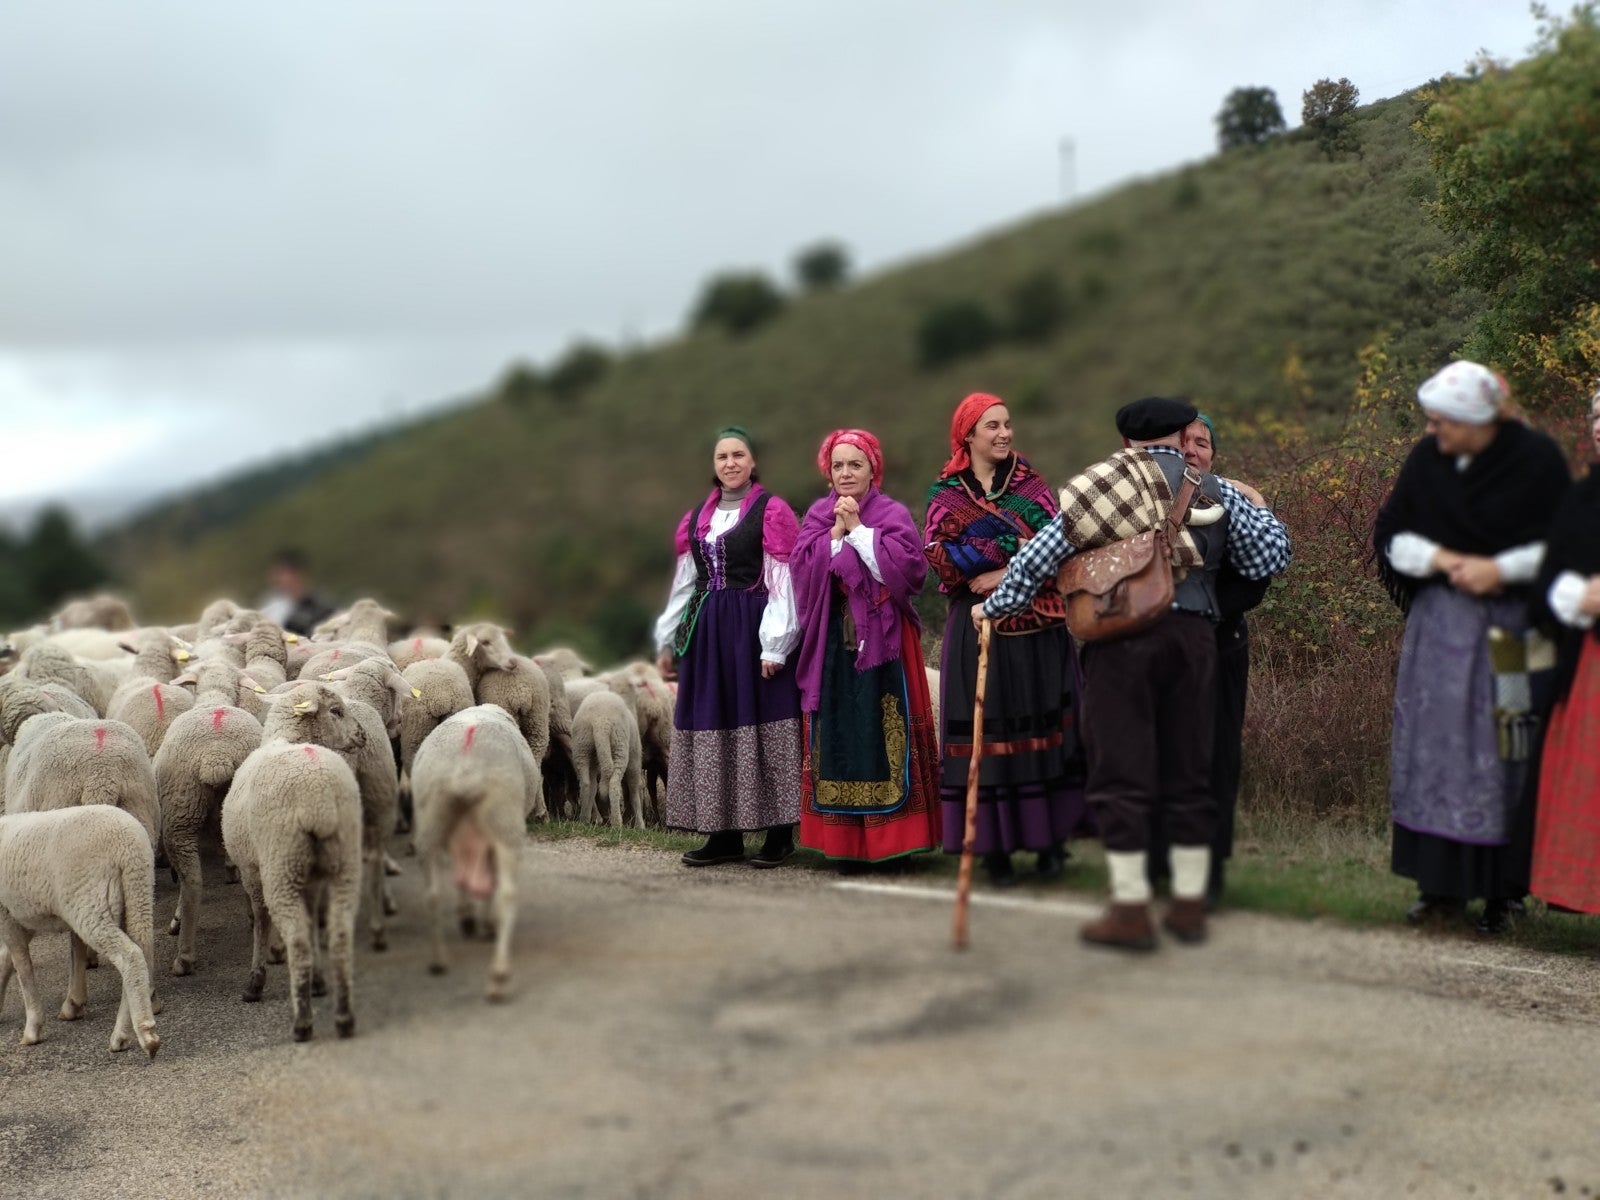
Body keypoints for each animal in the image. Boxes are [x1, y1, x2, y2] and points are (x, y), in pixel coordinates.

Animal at [0, 812, 160, 1056]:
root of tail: (130, 848)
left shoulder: (7, 914)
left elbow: (23, 968)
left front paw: (33, 1029)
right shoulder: (23, 918)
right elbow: (6, 960)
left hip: (91, 903)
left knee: (130, 956)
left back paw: (145, 1035)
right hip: (139, 895)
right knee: (144, 953)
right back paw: (123, 1034)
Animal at [222, 684, 366, 1043]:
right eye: (336, 710)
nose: (363, 735)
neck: (285, 737)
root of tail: (319, 801)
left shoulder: (251, 871)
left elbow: (260, 920)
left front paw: (255, 980)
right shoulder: (310, 879)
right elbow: (313, 920)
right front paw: (318, 980)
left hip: (280, 864)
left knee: (297, 939)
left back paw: (302, 1022)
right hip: (343, 860)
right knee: (340, 934)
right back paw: (344, 1017)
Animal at [409, 704, 540, 1004]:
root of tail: (466, 763)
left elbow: (463, 881)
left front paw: (467, 916)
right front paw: (483, 922)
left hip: (431, 818)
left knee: (432, 895)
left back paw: (439, 960)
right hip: (504, 818)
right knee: (506, 896)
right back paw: (498, 976)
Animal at [569, 691, 643, 832]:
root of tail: (600, 720)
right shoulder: (634, 762)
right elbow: (634, 793)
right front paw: (640, 825)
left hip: (582, 747)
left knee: (587, 783)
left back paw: (584, 819)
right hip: (620, 746)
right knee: (614, 784)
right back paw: (617, 823)